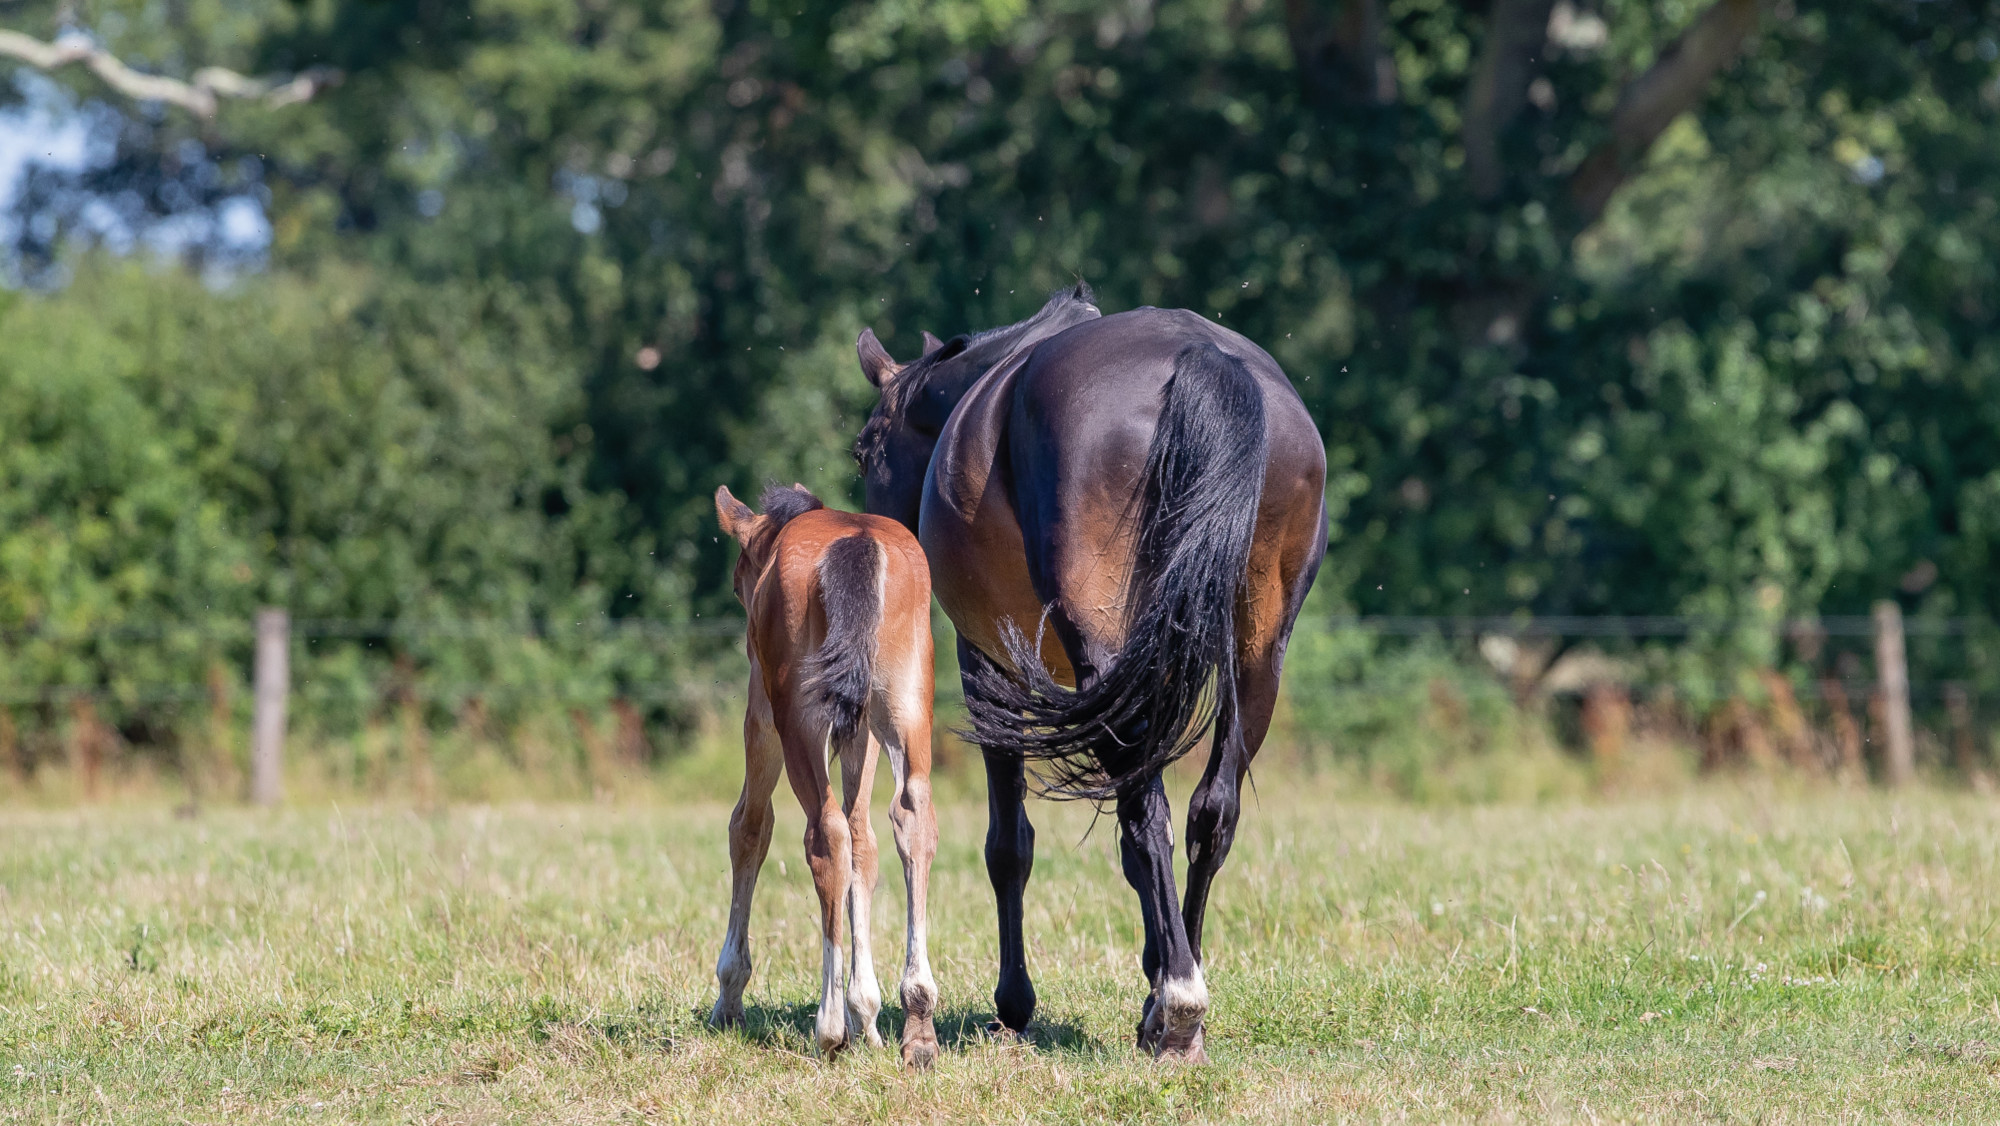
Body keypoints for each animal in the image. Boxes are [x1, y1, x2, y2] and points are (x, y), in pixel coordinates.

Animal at [709, 483, 942, 1067]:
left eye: (738, 579)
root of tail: (856, 542)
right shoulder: (862, 734)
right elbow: (866, 846)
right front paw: (870, 1017)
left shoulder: (762, 716)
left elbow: (749, 827)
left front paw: (729, 999)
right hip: (906, 711)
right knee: (910, 820)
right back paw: (918, 1023)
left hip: (800, 722)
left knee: (825, 833)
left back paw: (830, 1027)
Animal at [851, 285, 1327, 1061]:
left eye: (865, 448)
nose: (883, 541)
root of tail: (1204, 358)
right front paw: (1153, 968)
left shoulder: (988, 664)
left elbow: (1008, 844)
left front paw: (1015, 1001)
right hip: (1259, 657)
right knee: (1209, 811)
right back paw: (1177, 990)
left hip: (1102, 653)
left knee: (1146, 813)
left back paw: (1178, 1003)